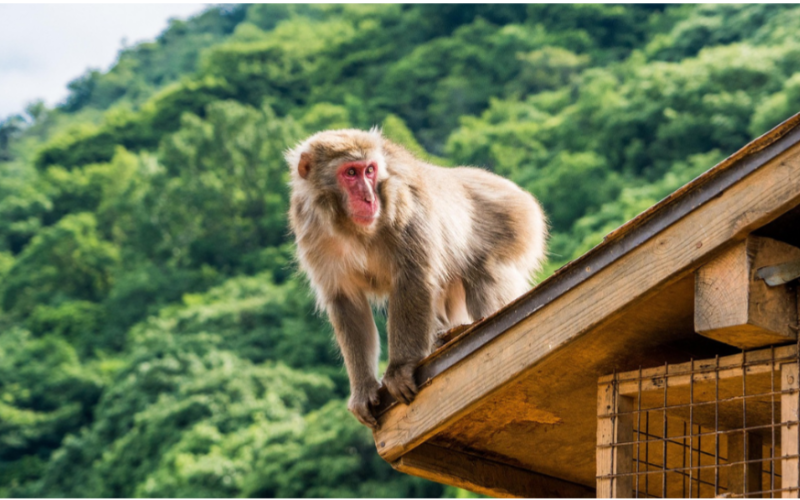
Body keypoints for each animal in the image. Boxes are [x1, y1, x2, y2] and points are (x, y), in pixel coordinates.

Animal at [285, 128, 547, 428]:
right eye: (350, 172)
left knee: (486, 274)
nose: (369, 198)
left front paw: (400, 369)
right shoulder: (312, 230)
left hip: (517, 223)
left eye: (370, 171)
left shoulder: (404, 205)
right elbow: (346, 302)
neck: (351, 228)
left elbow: (413, 278)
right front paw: (363, 388)